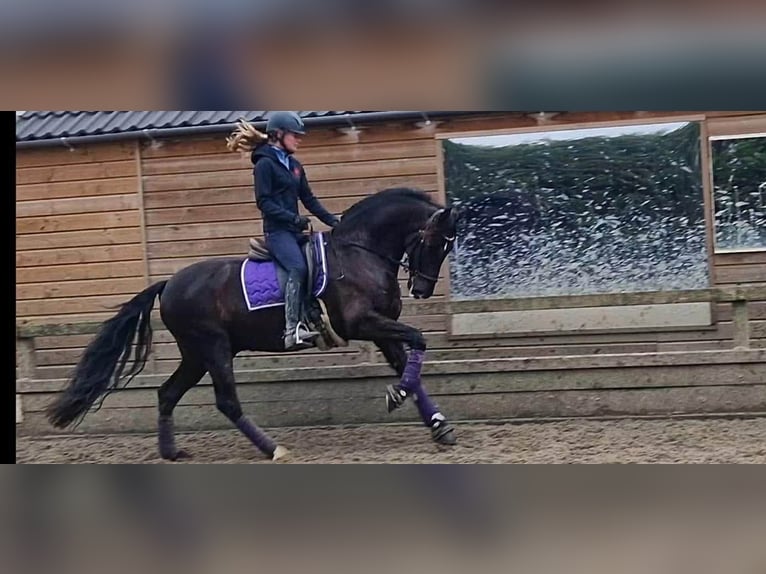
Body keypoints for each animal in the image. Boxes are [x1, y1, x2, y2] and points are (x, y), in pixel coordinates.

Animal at [45, 187, 460, 461]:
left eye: (446, 247)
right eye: (434, 242)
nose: (422, 289)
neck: (361, 253)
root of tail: (169, 284)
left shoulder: (381, 326)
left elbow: (410, 363)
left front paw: (437, 424)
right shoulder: (362, 324)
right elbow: (418, 342)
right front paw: (399, 396)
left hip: (197, 354)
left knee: (167, 394)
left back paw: (172, 452)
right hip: (212, 347)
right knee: (226, 401)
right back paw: (273, 449)